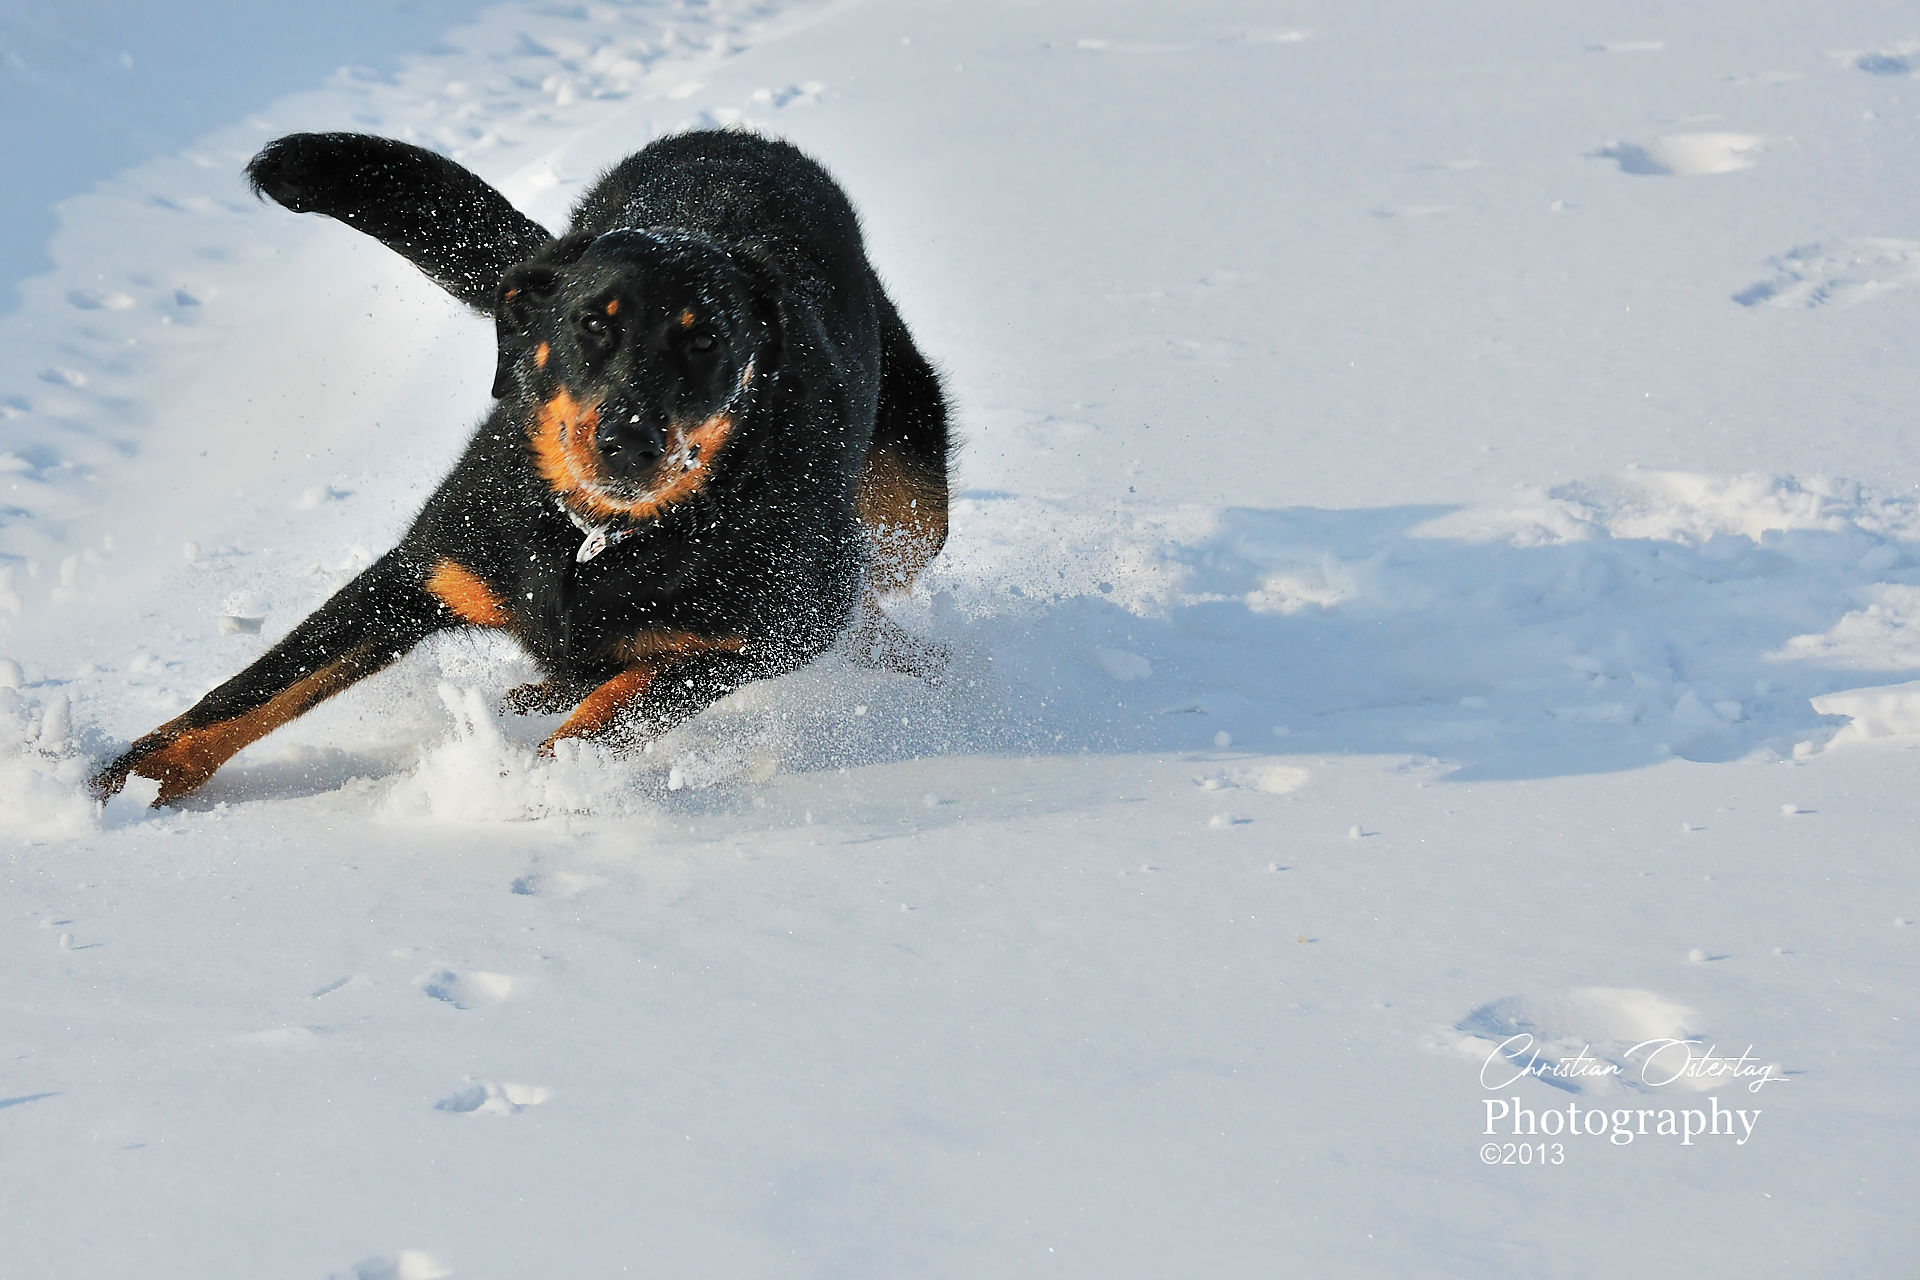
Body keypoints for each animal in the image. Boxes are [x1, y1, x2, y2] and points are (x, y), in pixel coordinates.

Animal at [91, 128, 951, 806]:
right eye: (591, 325)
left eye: (705, 341)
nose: (631, 438)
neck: (593, 539)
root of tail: (744, 139)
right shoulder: (420, 571)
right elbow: (254, 688)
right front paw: (119, 784)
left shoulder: (762, 636)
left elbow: (616, 709)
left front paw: (523, 790)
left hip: (910, 508)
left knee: (875, 584)